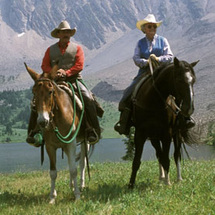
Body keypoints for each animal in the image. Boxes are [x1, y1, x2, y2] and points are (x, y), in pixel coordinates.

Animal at [25, 63, 89, 203]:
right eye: (34, 92)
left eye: (50, 92)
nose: (43, 121)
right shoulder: (50, 146)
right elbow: (53, 172)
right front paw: (52, 198)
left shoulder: (71, 143)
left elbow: (74, 169)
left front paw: (77, 196)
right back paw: (72, 185)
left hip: (84, 142)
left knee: (82, 162)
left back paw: (81, 185)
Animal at [128, 57, 199, 188]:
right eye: (179, 80)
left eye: (194, 80)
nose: (189, 109)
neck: (152, 101)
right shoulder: (140, 133)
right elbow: (137, 160)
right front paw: (131, 185)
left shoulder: (167, 134)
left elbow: (167, 159)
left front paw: (168, 183)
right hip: (154, 137)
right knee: (159, 154)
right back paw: (161, 177)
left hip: (177, 134)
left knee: (176, 155)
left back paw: (178, 178)